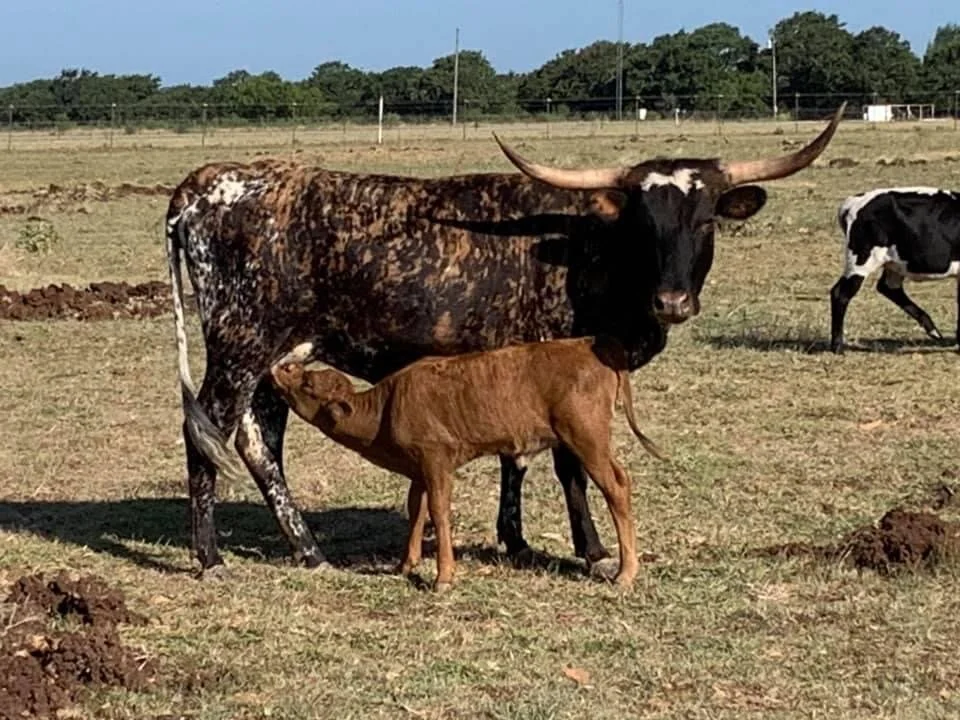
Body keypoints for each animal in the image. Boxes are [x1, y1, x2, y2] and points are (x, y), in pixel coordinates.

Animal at [268, 336, 667, 591]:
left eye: (307, 383)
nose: (281, 368)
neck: (386, 408)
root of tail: (588, 345)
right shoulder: (419, 470)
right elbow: (416, 511)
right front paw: (405, 565)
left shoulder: (437, 462)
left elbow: (440, 513)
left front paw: (443, 578)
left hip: (587, 439)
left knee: (617, 486)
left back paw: (625, 574)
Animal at [831, 186, 960, 354]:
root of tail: (851, 202)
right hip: (861, 260)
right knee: (840, 294)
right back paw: (837, 346)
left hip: (894, 264)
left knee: (888, 287)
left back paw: (933, 331)